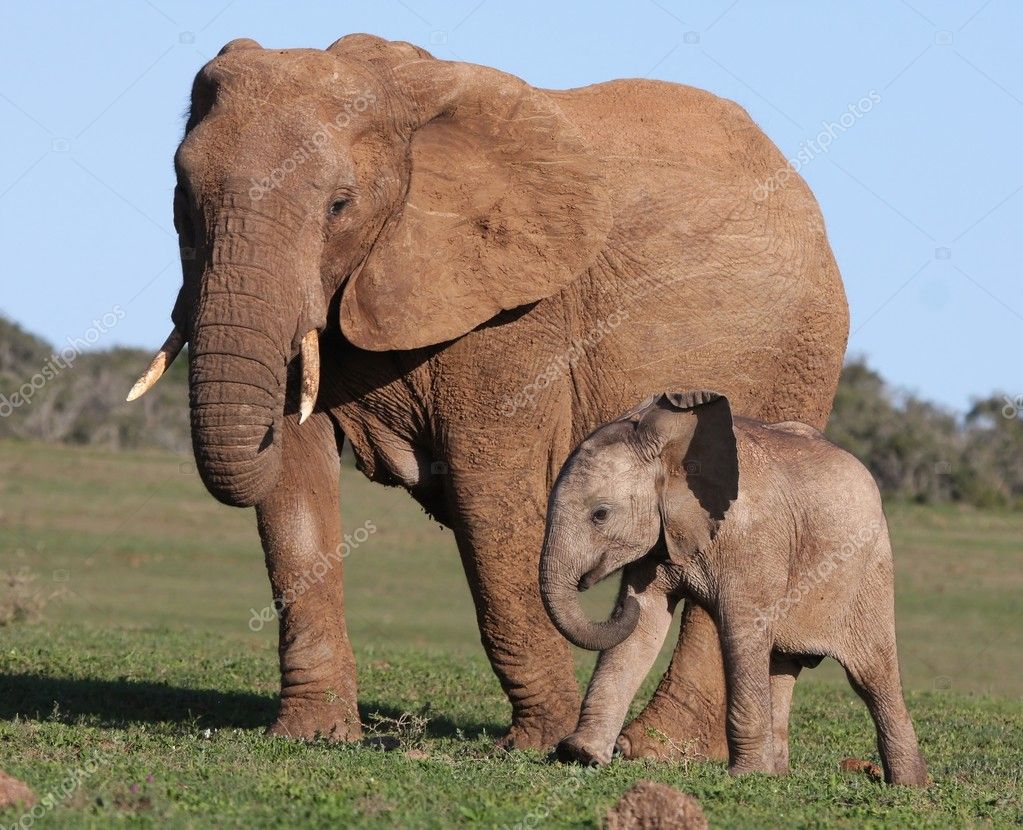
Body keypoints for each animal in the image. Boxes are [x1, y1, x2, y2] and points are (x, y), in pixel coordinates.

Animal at [127, 35, 847, 757]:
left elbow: (490, 496)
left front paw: (540, 745)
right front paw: (312, 735)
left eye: (339, 205)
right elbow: (295, 487)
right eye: (181, 198)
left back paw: (656, 750)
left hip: (800, 359)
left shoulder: (516, 311)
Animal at [544, 388, 928, 785]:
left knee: (872, 675)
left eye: (600, 514)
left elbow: (740, 632)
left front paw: (747, 776)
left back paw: (909, 787)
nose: (618, 605)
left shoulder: (751, 539)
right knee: (782, 665)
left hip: (869, 570)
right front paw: (581, 755)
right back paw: (779, 776)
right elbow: (643, 626)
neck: (669, 445)